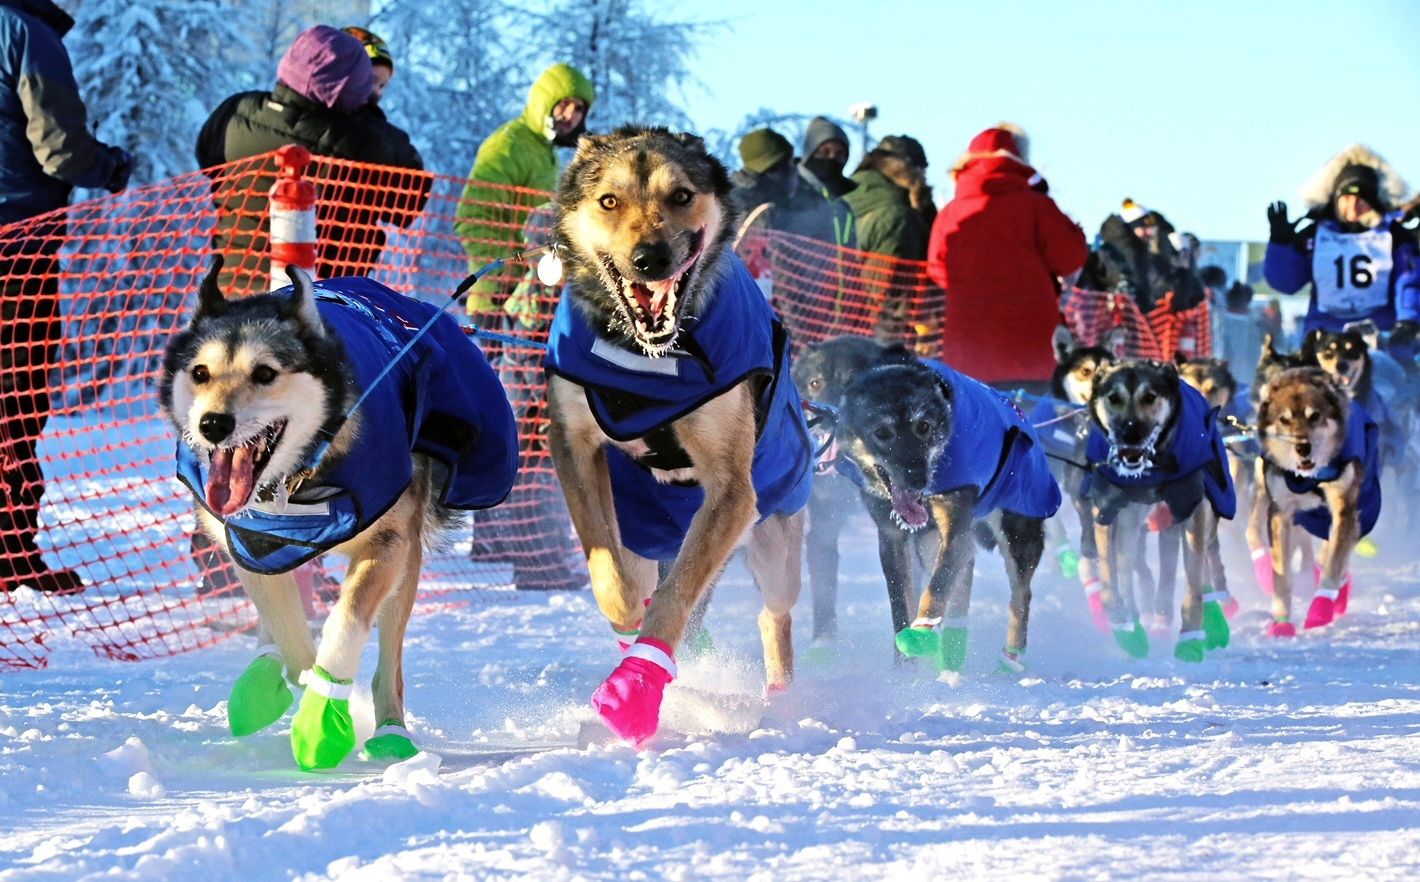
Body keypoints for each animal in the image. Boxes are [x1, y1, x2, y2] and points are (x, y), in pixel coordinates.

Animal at [539, 125, 812, 744]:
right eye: (609, 201)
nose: (650, 258)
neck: (645, 356)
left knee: (773, 612)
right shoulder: (573, 446)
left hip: (775, 540)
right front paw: (630, 631)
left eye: (682, 195)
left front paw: (635, 688)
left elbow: (675, 598)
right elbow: (612, 582)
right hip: (644, 531)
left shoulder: (732, 490)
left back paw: (782, 698)